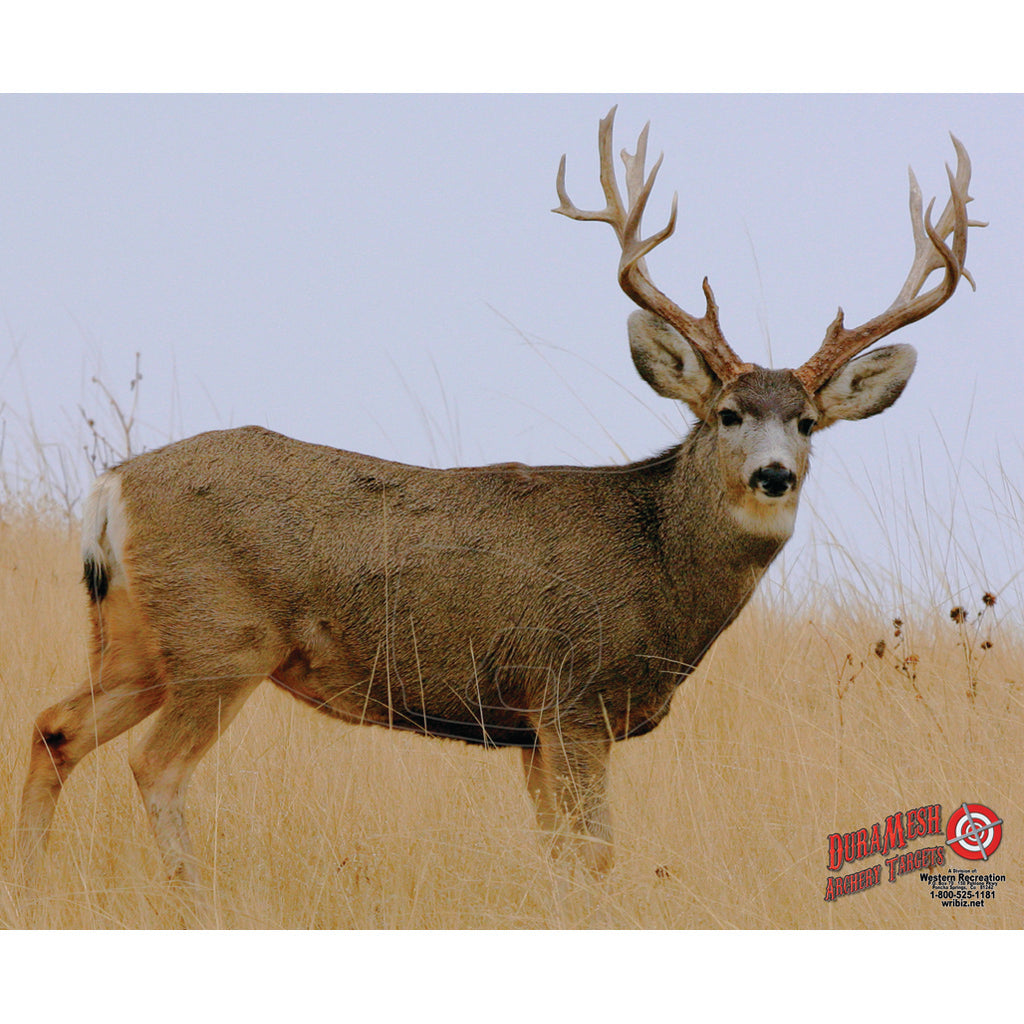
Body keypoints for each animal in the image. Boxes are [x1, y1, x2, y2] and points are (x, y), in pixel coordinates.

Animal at [18, 108, 981, 888]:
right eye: (729, 413)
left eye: (810, 422)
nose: (773, 474)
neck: (660, 571)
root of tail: (110, 486)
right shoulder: (572, 697)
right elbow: (596, 855)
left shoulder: (530, 729)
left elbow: (557, 855)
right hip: (221, 639)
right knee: (154, 767)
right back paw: (190, 896)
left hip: (138, 638)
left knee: (53, 726)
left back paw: (30, 883)